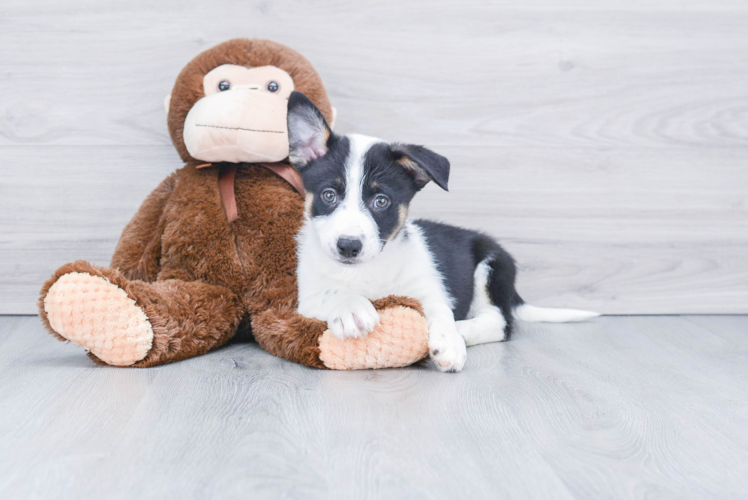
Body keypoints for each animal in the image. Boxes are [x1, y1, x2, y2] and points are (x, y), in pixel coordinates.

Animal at [284, 92, 596, 374]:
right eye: (329, 195)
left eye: (381, 201)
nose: (349, 246)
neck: (366, 270)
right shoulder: (306, 299)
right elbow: (332, 291)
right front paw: (351, 307)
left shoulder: (429, 287)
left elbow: (440, 309)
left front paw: (449, 341)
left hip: (491, 266)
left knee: (500, 323)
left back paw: (462, 331)